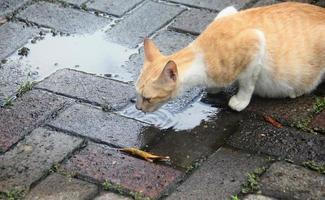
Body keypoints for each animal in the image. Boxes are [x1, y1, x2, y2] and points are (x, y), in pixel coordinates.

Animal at [135, 2, 324, 112]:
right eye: (137, 94)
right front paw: (214, 88)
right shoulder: (229, 11)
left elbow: (247, 84)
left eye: (147, 98)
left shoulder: (255, 42)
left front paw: (240, 101)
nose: (137, 108)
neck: (200, 54)